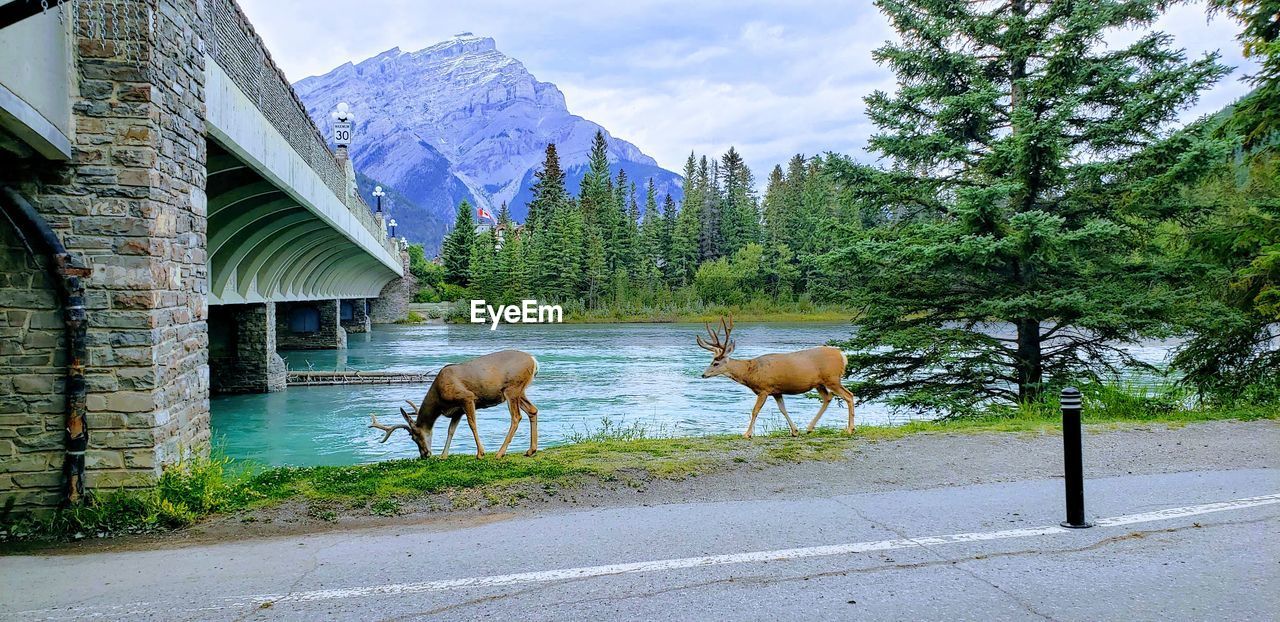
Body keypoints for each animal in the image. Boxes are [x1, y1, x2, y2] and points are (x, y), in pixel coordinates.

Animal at [368, 348, 537, 458]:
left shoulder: (467, 397)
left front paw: (480, 453)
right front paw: (444, 455)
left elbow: (472, 424)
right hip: (520, 391)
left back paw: (500, 453)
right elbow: (451, 430)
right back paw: (531, 450)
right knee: (533, 410)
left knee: (516, 417)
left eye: (414, 437)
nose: (425, 455)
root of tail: (534, 361)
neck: (439, 400)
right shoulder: (458, 410)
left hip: (512, 389)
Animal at [696, 318, 855, 440]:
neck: (750, 371)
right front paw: (794, 431)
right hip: (819, 383)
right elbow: (783, 410)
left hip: (832, 379)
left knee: (849, 395)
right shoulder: (777, 391)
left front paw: (747, 434)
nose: (703, 374)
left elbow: (755, 410)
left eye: (715, 363)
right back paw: (809, 428)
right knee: (828, 397)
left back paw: (850, 429)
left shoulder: (764, 389)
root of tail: (842, 355)